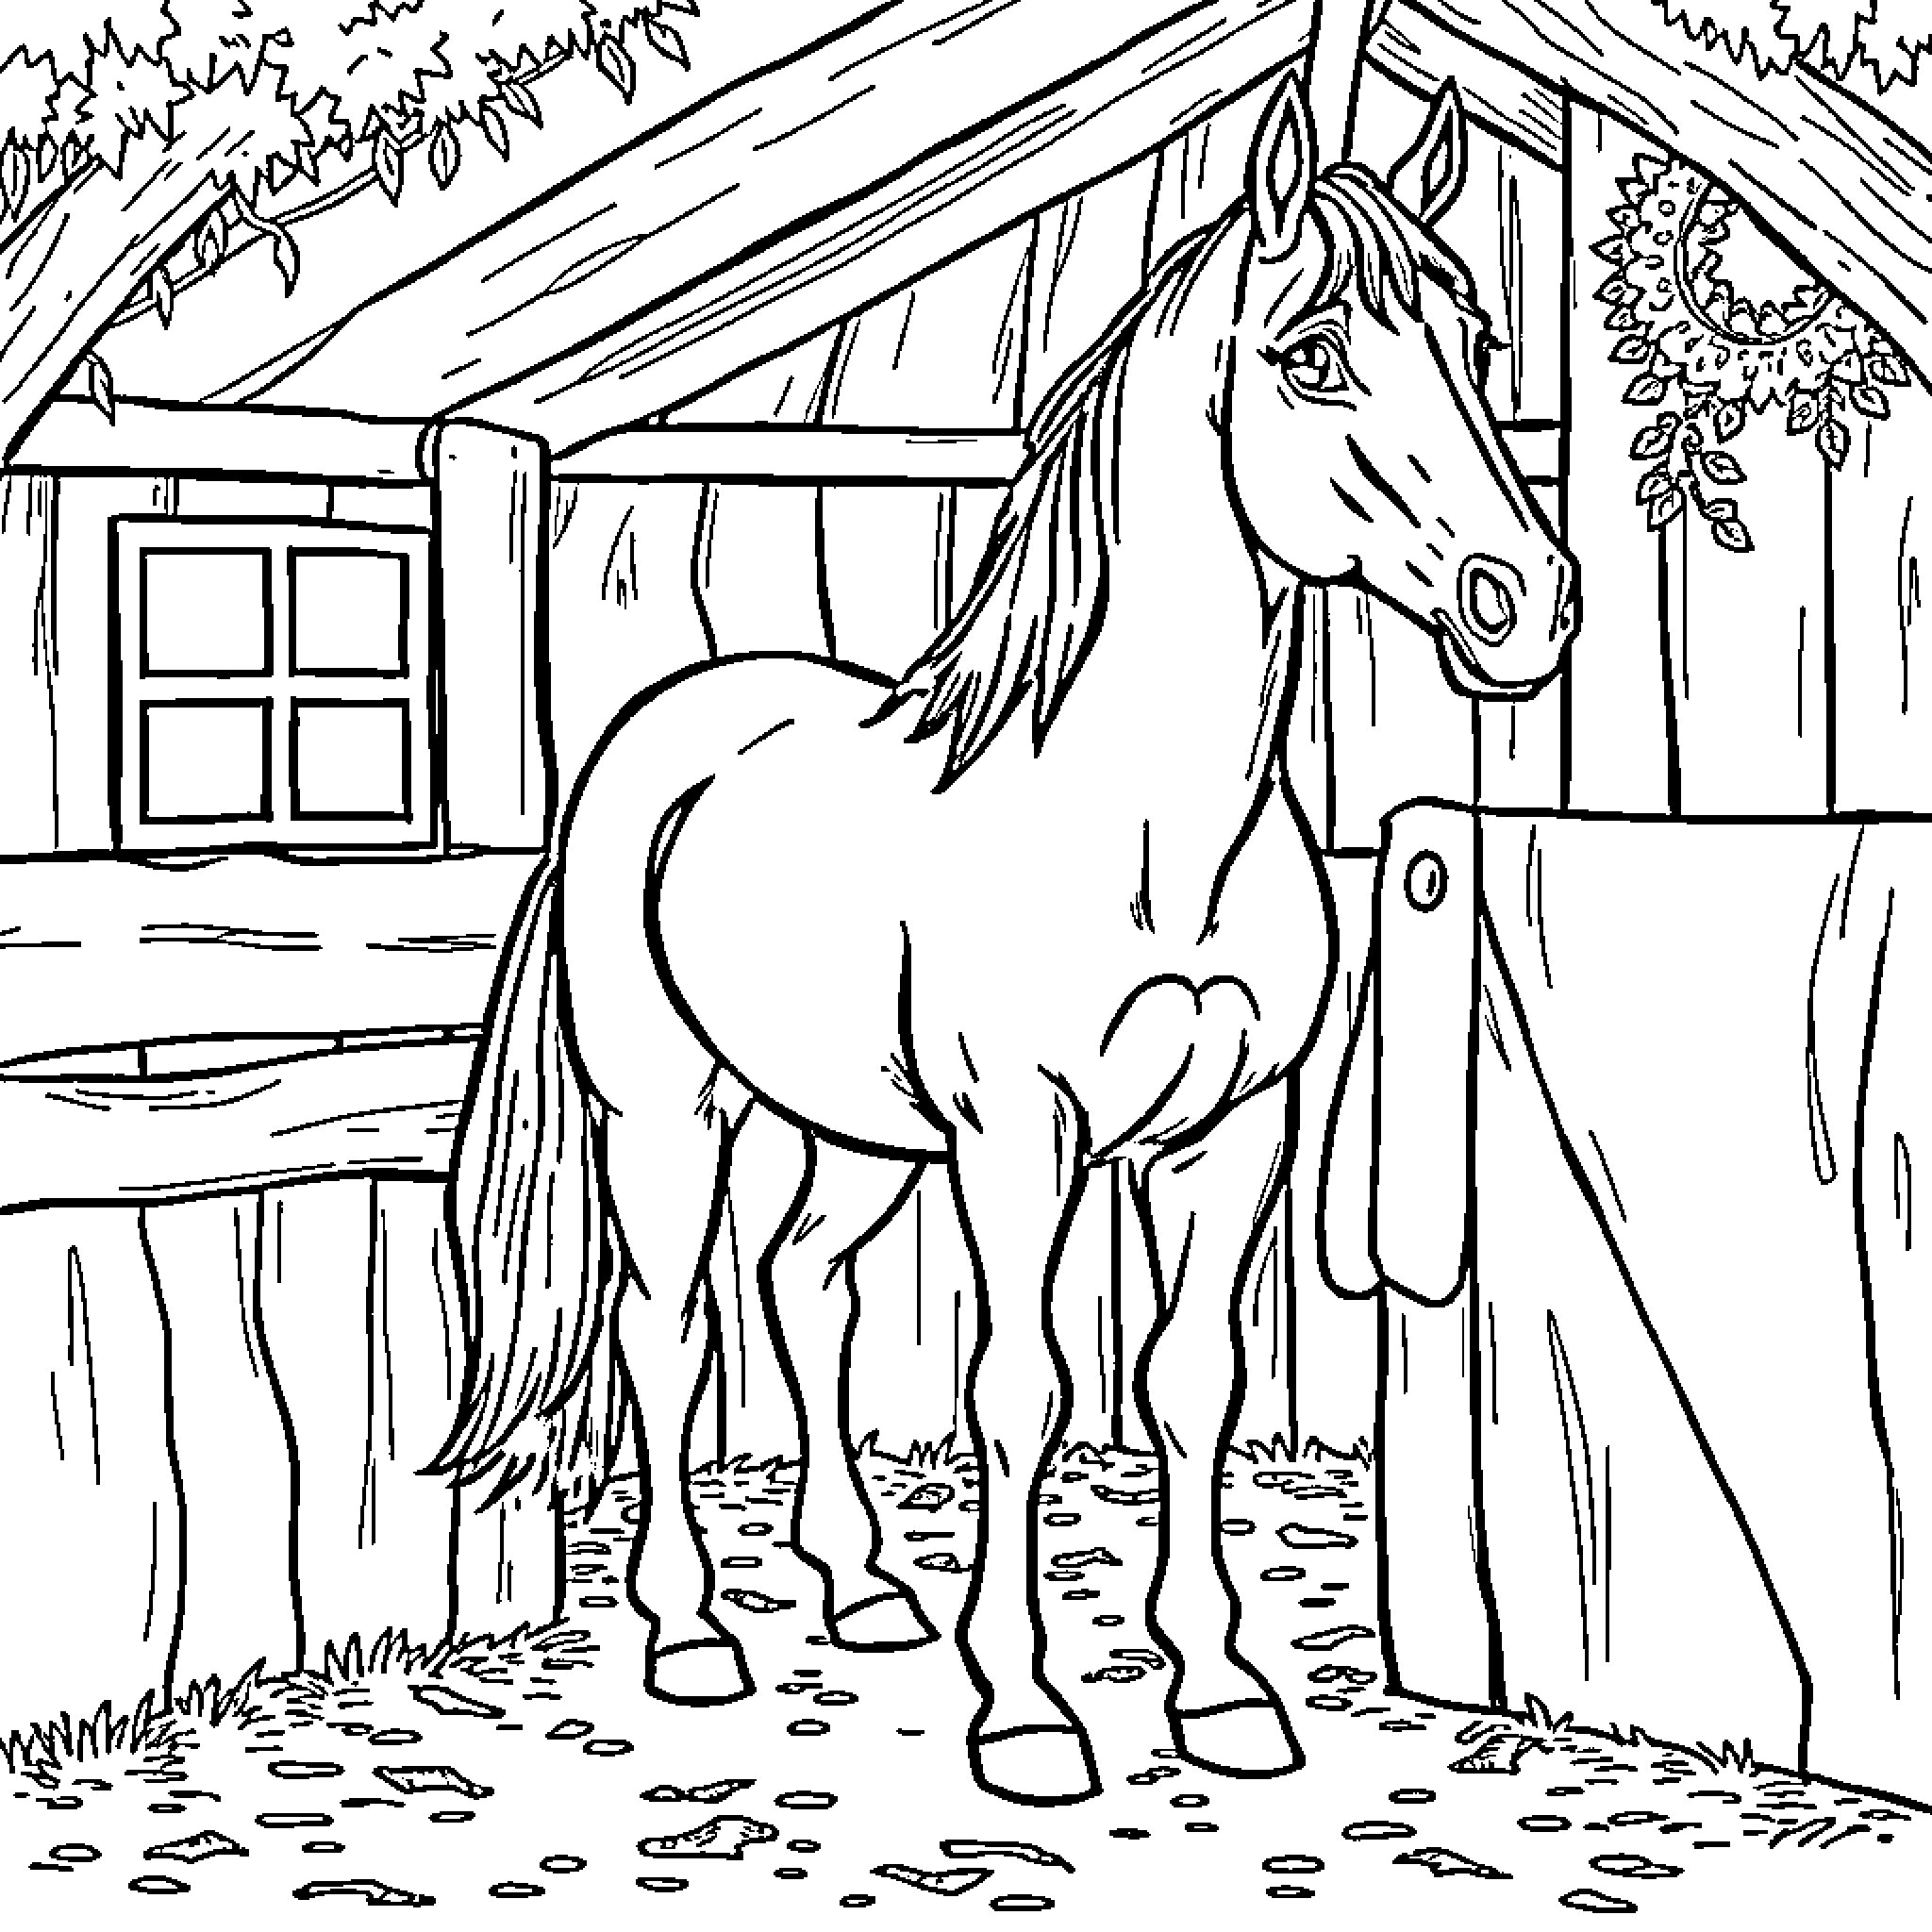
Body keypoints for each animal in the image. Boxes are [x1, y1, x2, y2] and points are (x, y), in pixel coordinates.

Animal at [432, 67, 1578, 1807]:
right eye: (1312, 351)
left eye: (1481, 343)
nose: (1525, 600)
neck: (1147, 832)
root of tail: (660, 725)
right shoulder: (1020, 1141)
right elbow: (1020, 1390)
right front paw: (1029, 1714)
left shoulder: (1223, 1134)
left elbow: (1187, 1379)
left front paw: (1220, 1692)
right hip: (668, 1116)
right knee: (668, 1327)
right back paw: (691, 1631)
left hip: (849, 1132)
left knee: (804, 1287)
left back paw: (860, 1584)